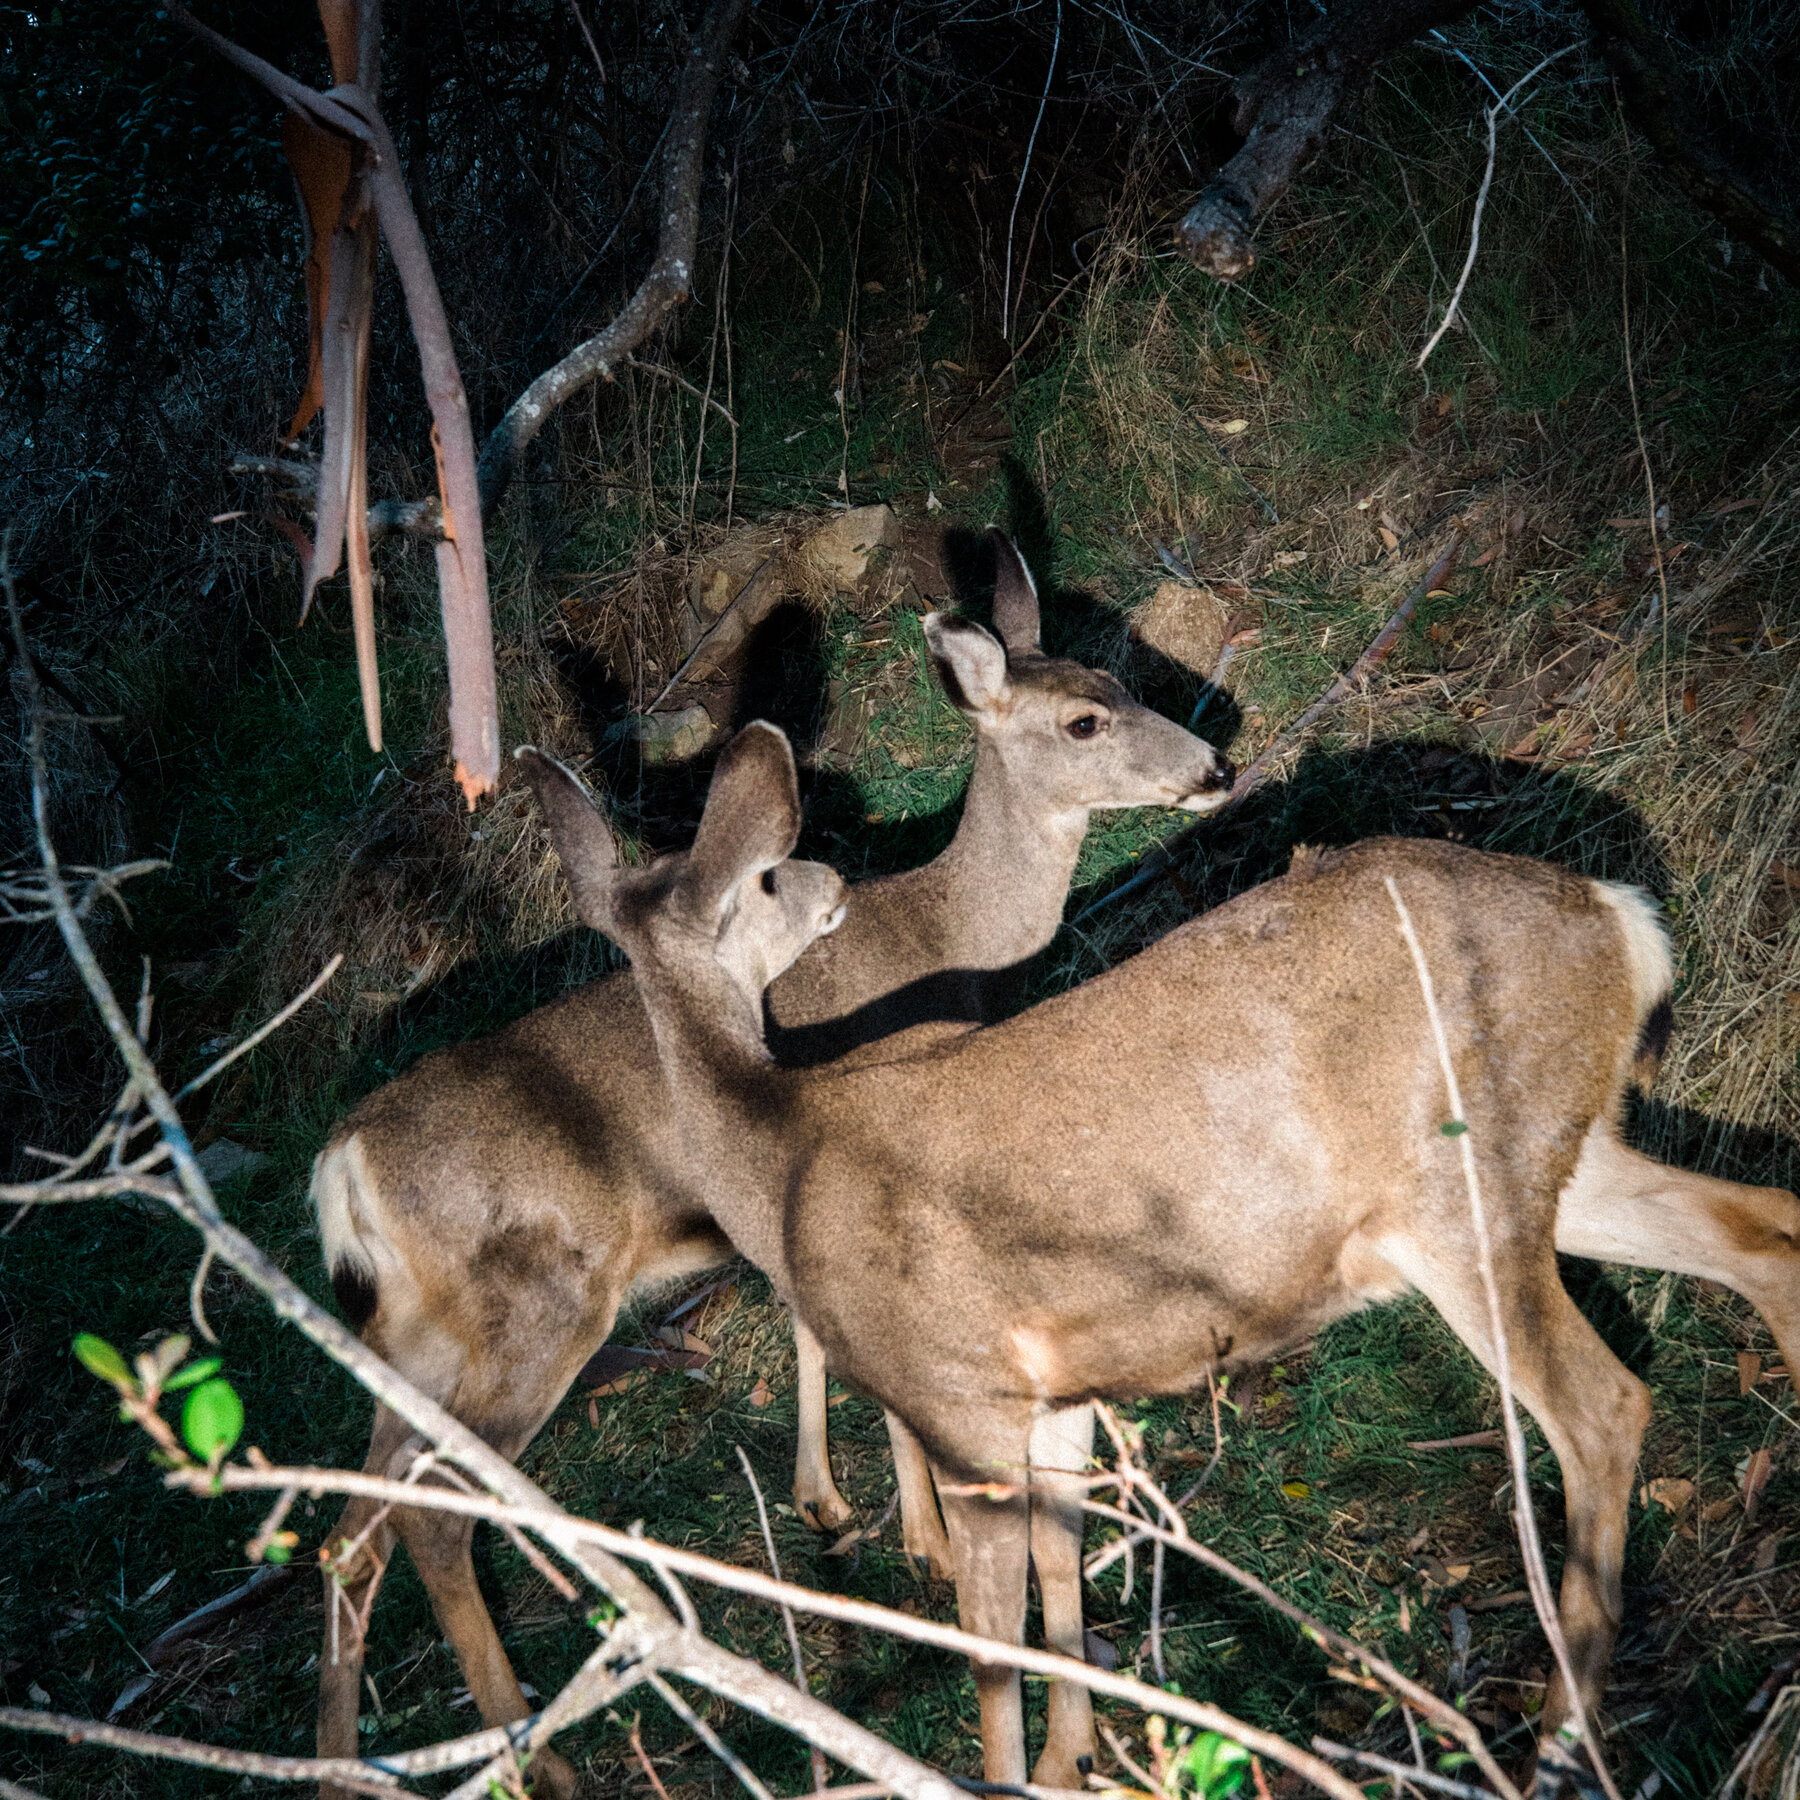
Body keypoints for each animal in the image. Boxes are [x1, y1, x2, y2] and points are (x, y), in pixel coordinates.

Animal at [309, 530, 1234, 1800]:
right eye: (1084, 721)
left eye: (1121, 676)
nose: (1215, 765)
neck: (952, 939)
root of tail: (342, 1164)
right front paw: (920, 1539)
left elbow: (807, 1328)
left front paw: (832, 1504)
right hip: (533, 1312)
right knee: (433, 1514)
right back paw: (535, 1757)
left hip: (410, 1340)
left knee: (345, 1528)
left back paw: (343, 1761)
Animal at [518, 718, 1800, 1793]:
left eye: (767, 874)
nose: (832, 884)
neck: (783, 1166)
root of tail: (1618, 912)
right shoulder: (1054, 1393)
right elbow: (1062, 1572)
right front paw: (1076, 1762)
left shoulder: (957, 1397)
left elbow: (992, 1644)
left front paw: (1008, 1772)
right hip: (1561, 1153)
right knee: (1763, 1225)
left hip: (1465, 1188)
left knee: (1604, 1405)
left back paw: (1559, 1745)